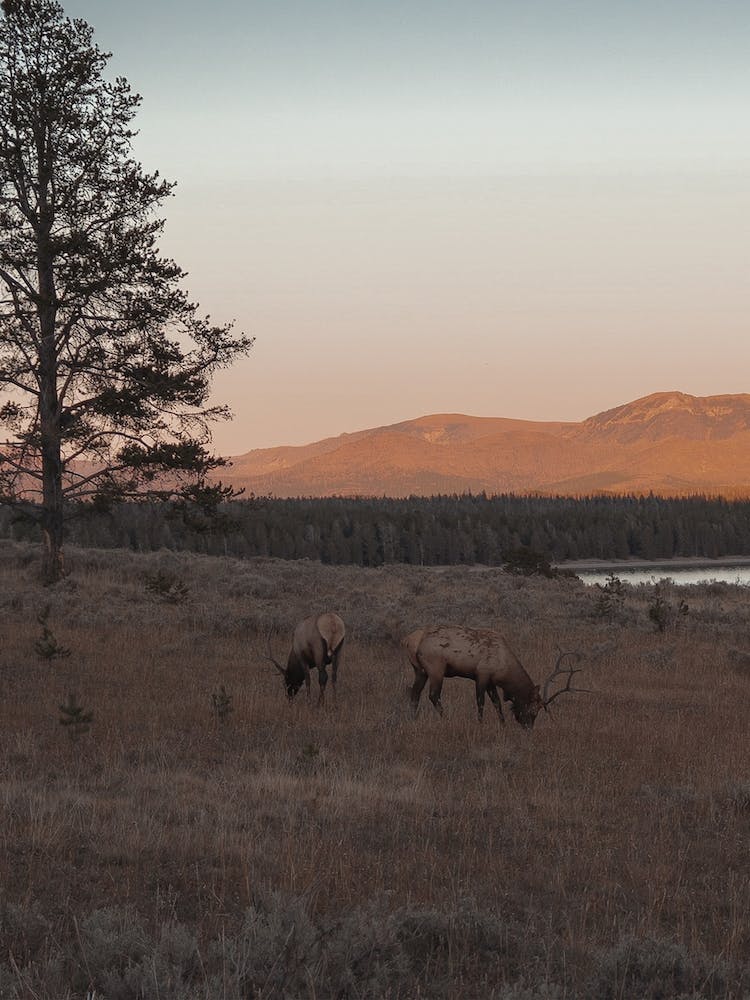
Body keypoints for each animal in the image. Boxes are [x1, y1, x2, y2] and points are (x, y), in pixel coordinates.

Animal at [403, 625, 586, 728]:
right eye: (533, 709)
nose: (528, 728)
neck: (504, 669)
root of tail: (410, 640)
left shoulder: (491, 681)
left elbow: (497, 703)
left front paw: (503, 724)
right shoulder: (482, 675)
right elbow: (481, 702)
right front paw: (480, 724)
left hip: (420, 670)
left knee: (414, 693)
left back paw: (412, 719)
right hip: (436, 668)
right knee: (433, 695)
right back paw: (446, 719)